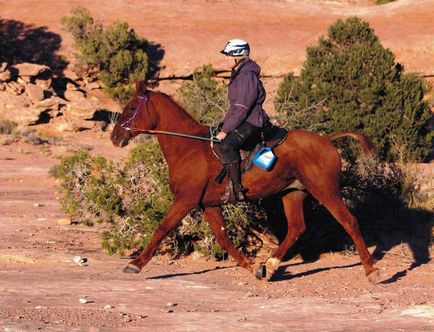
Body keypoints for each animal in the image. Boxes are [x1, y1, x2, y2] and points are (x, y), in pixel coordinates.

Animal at [110, 83, 378, 280]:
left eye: (132, 107)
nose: (115, 136)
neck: (188, 147)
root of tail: (327, 140)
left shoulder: (186, 199)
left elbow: (162, 228)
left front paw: (135, 263)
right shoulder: (209, 205)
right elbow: (223, 239)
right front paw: (253, 267)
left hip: (325, 190)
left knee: (349, 221)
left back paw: (371, 269)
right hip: (293, 193)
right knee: (296, 228)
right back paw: (271, 264)